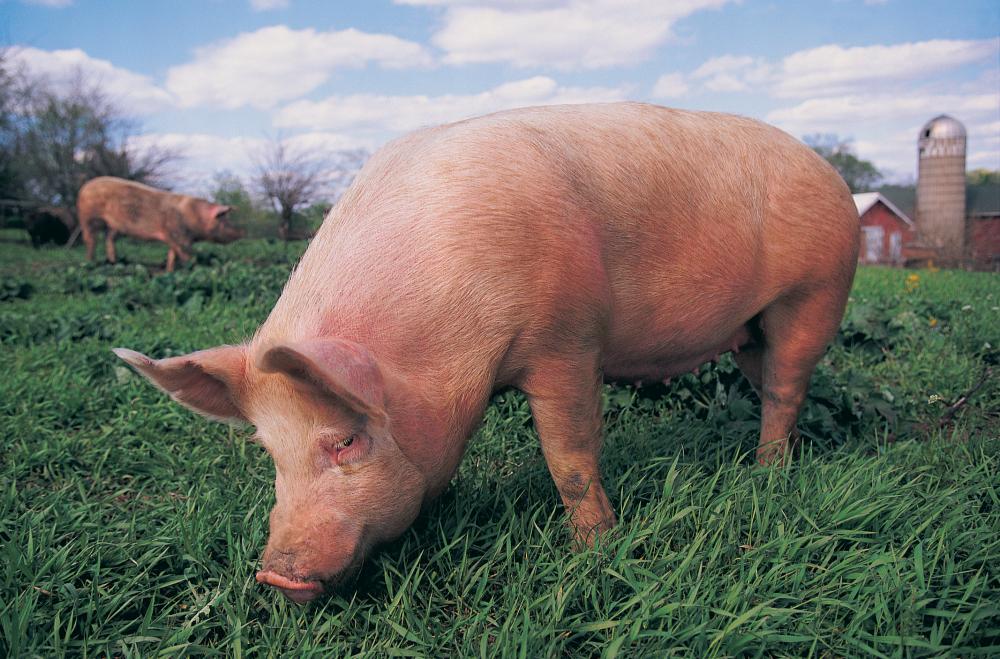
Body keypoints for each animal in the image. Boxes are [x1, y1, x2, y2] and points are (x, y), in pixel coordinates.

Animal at [77, 176, 243, 272]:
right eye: (224, 220)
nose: (242, 232)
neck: (194, 215)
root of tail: (83, 187)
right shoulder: (179, 235)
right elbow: (186, 255)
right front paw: (195, 269)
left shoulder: (174, 237)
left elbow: (172, 255)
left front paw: (169, 271)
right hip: (89, 218)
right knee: (90, 239)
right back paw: (90, 263)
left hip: (112, 226)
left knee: (109, 239)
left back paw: (113, 262)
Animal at [114, 103, 859, 603]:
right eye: (270, 451)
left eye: (347, 440)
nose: (274, 574)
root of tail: (830, 171)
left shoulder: (566, 340)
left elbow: (570, 457)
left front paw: (595, 550)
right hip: (752, 329)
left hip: (815, 292)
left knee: (786, 387)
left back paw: (768, 474)